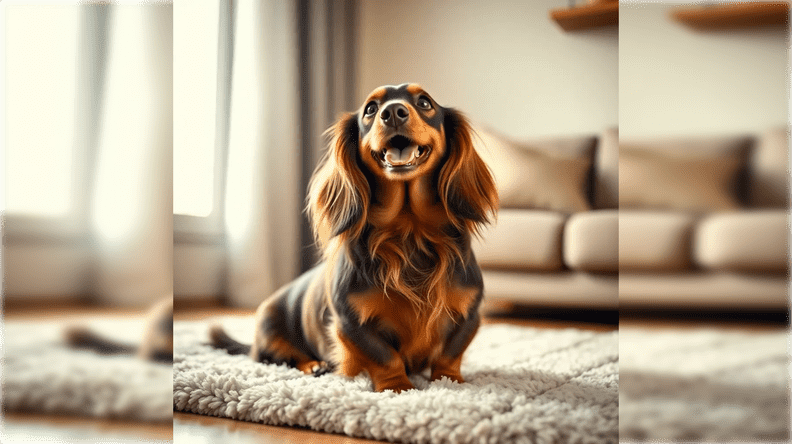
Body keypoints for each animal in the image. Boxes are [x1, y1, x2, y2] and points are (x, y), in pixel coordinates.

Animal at [210, 84, 496, 392]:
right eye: (370, 108)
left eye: (424, 102)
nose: (393, 112)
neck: (409, 230)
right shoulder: (350, 321)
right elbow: (384, 356)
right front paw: (398, 387)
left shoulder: (469, 314)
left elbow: (450, 353)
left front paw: (450, 381)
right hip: (270, 332)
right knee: (284, 357)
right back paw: (313, 365)